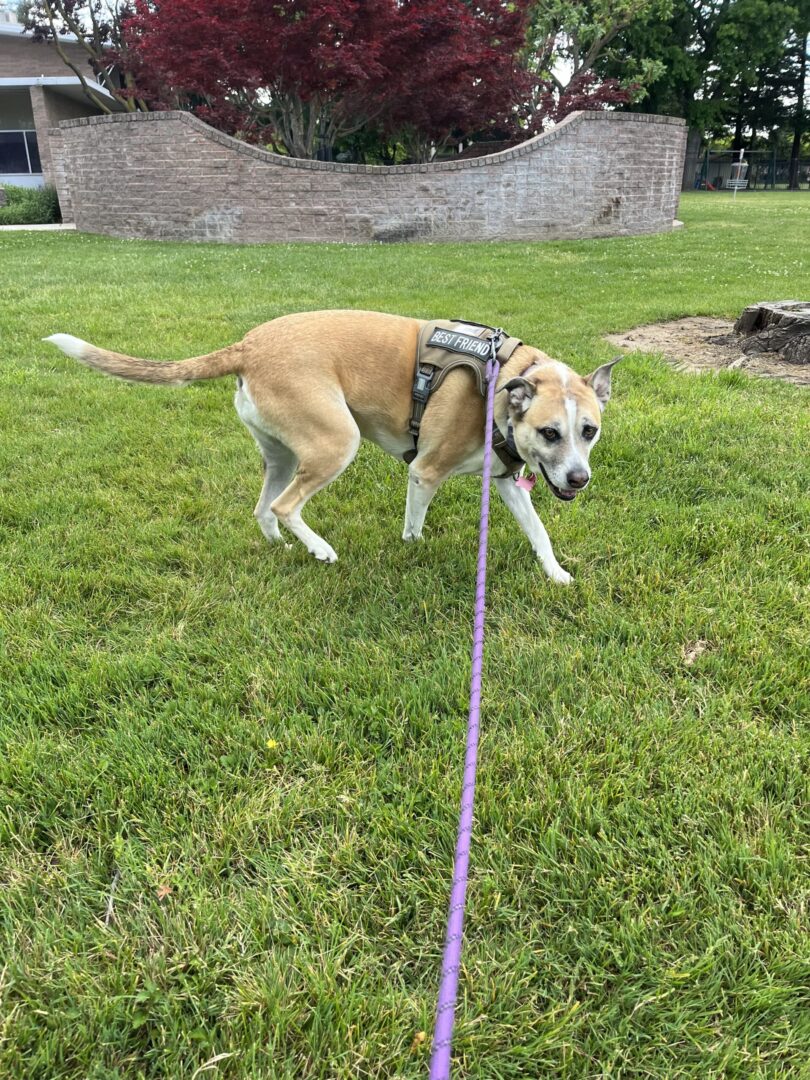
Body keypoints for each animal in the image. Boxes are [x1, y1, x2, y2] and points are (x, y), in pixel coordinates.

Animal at [44, 308, 617, 587]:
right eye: (550, 432)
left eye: (589, 431)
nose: (579, 480)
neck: (506, 381)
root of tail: (247, 345)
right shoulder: (426, 472)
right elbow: (414, 523)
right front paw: (412, 549)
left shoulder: (507, 480)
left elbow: (539, 533)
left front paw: (557, 574)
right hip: (337, 442)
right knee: (285, 504)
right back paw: (318, 548)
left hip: (283, 454)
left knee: (264, 506)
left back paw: (282, 547)